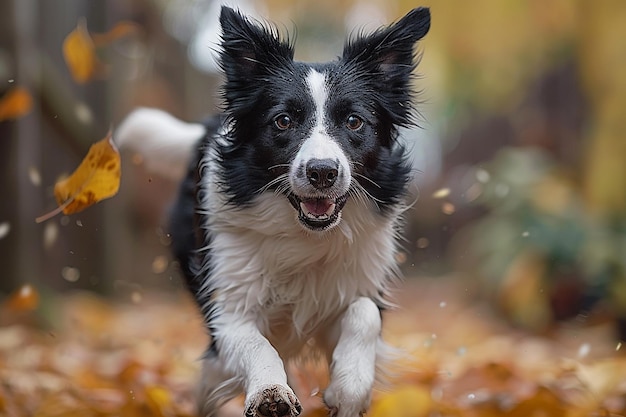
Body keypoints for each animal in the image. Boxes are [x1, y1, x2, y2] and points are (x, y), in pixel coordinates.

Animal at [116, 6, 428, 416]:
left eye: (354, 121)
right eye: (283, 121)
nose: (322, 172)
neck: (304, 235)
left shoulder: (360, 281)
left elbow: (364, 314)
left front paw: (349, 389)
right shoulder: (228, 306)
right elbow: (255, 344)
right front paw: (269, 391)